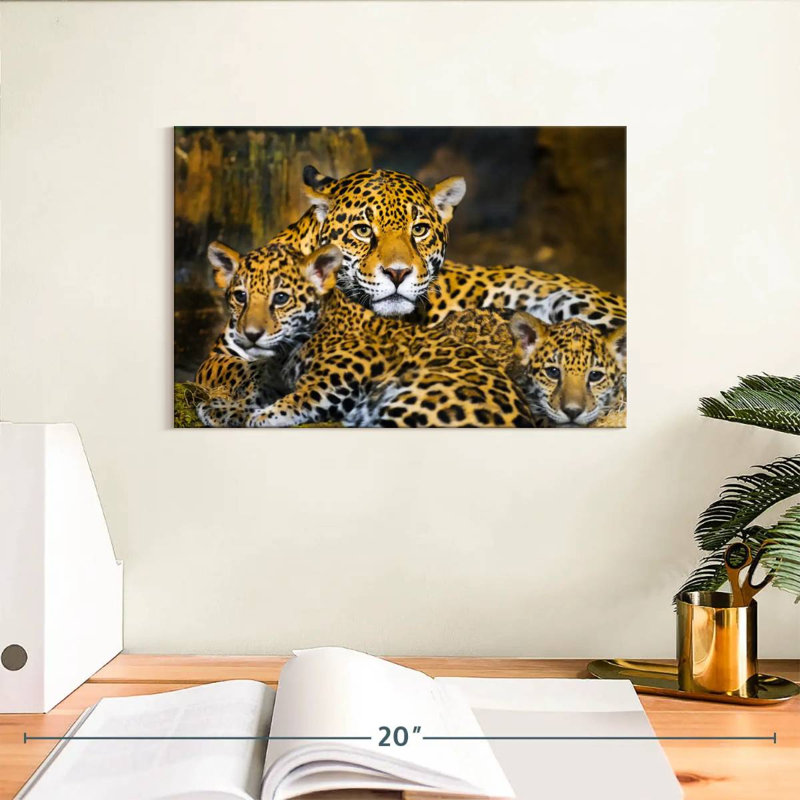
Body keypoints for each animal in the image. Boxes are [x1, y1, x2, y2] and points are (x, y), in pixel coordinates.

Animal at [246, 246, 534, 428]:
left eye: (280, 298)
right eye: (241, 297)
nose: (250, 334)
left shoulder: (340, 379)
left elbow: (302, 398)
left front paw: (263, 415)